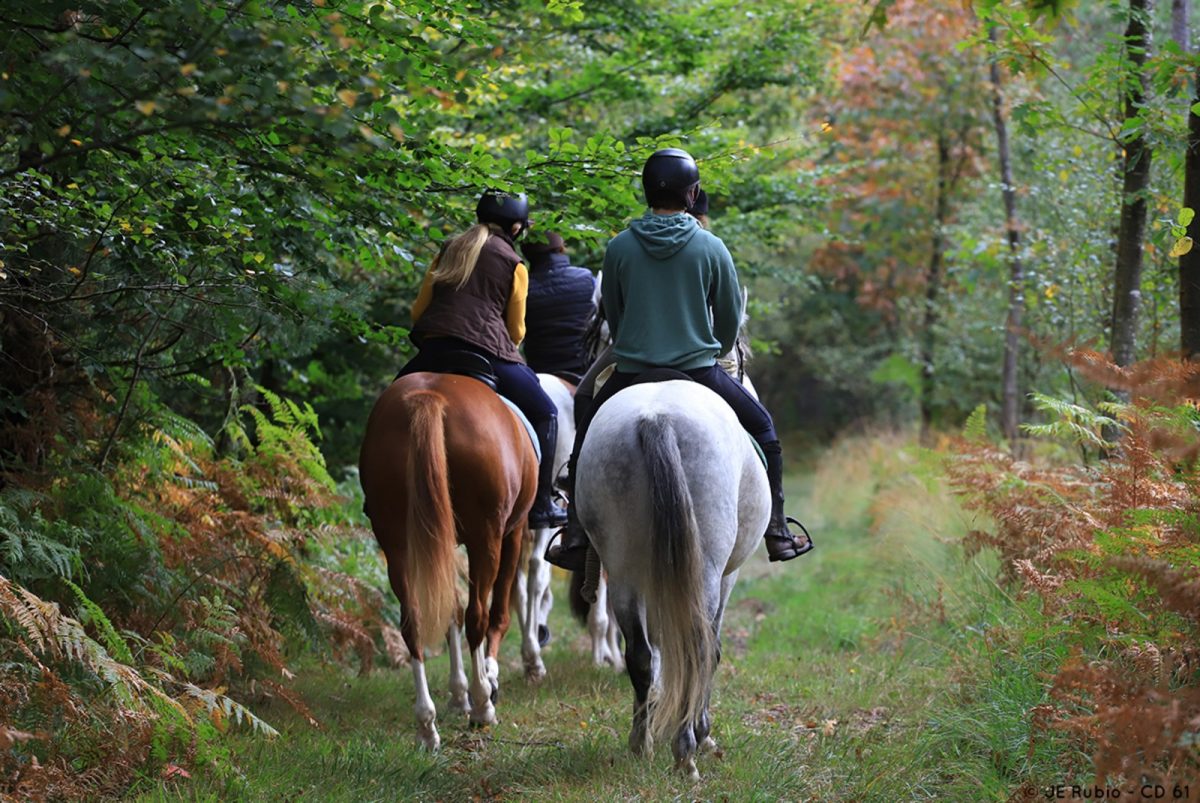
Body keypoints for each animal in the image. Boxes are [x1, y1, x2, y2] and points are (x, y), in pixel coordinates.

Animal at [358, 371, 537, 750]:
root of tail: (430, 397)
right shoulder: (513, 532)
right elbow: (497, 612)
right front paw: (486, 683)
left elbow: (449, 608)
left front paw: (458, 695)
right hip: (487, 537)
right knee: (478, 616)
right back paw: (483, 706)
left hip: (397, 541)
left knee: (413, 621)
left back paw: (427, 724)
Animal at [574, 377, 770, 780]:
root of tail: (656, 418)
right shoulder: (728, 577)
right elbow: (713, 649)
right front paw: (703, 732)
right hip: (706, 572)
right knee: (698, 649)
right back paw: (686, 751)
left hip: (622, 566)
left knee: (640, 654)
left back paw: (641, 742)